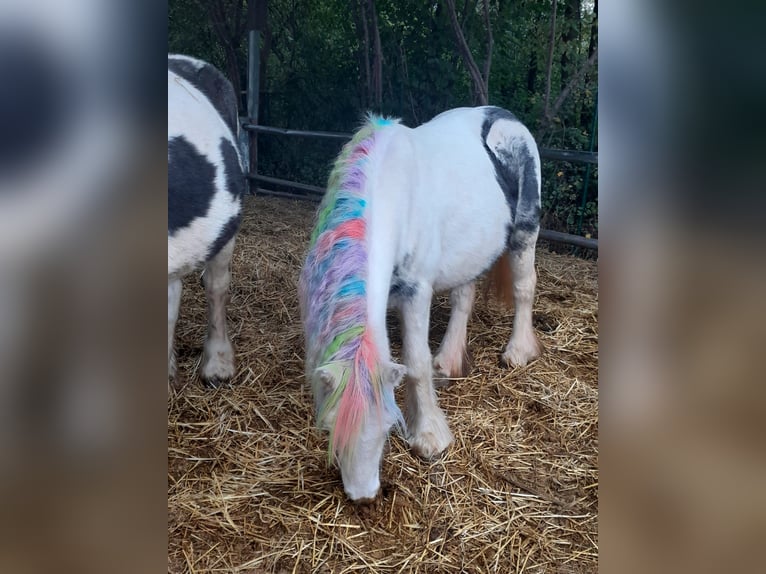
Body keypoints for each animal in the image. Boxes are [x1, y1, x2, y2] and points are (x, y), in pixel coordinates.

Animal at [296, 106, 544, 502]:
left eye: (388, 426)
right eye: (332, 425)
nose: (363, 496)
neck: (392, 195)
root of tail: (504, 116)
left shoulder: (417, 291)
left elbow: (415, 362)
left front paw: (428, 436)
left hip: (525, 234)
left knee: (523, 288)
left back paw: (518, 352)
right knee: (463, 297)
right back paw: (449, 361)